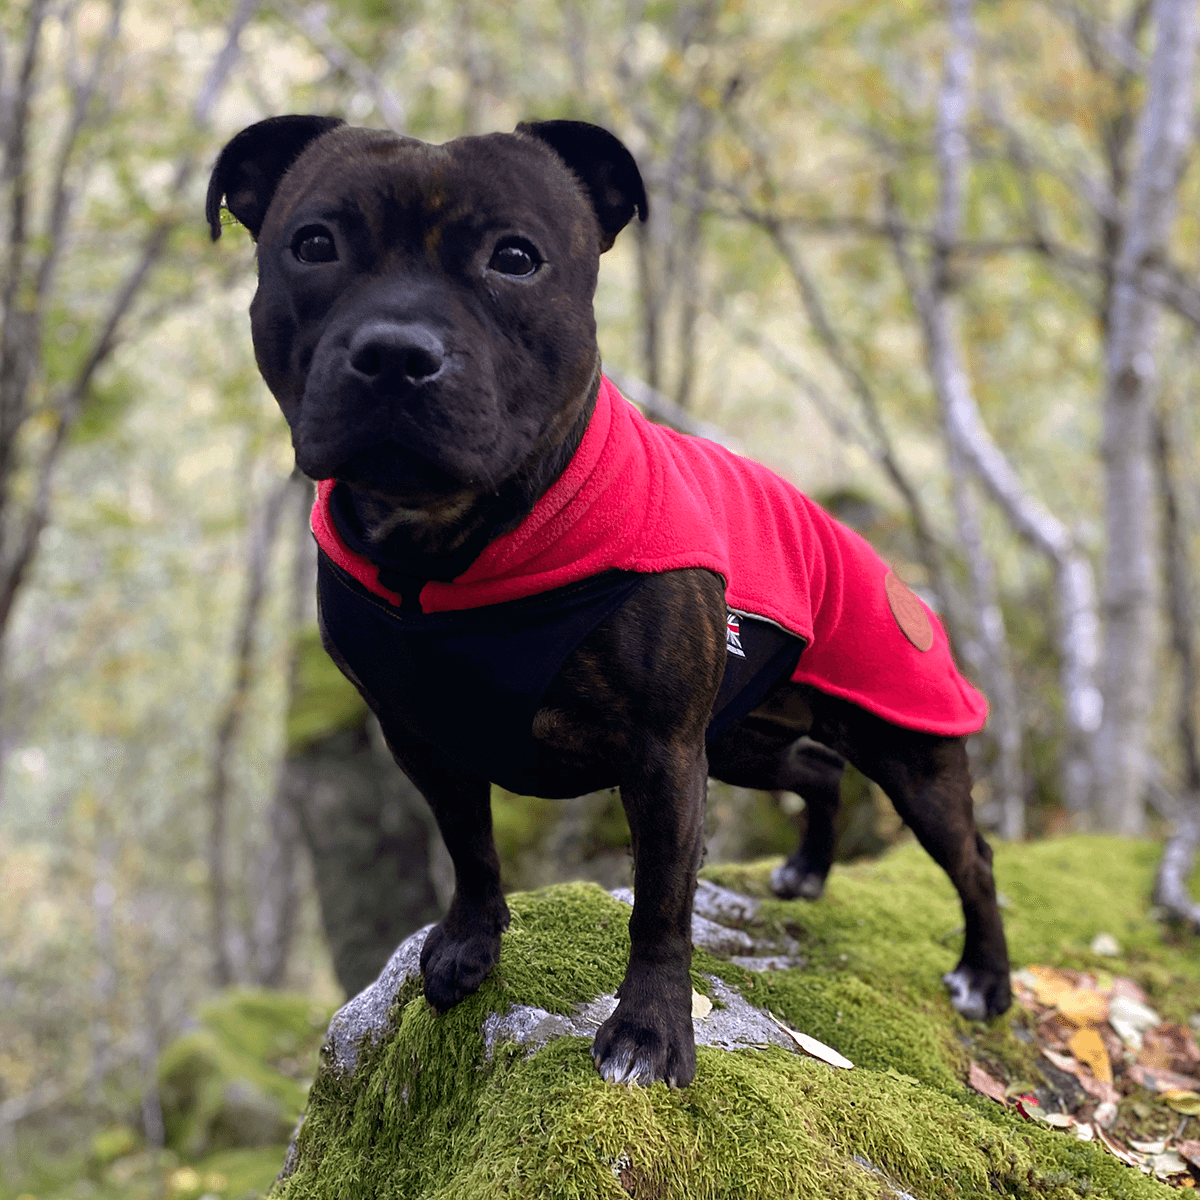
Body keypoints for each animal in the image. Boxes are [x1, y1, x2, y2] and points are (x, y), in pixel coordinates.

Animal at [208, 117, 1012, 1094]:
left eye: (516, 258)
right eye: (314, 244)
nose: (396, 351)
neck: (446, 546)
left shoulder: (662, 757)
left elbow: (661, 903)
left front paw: (650, 1032)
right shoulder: (423, 737)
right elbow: (469, 845)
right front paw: (468, 946)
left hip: (907, 753)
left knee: (972, 859)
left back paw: (985, 979)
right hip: (741, 741)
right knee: (819, 769)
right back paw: (806, 873)